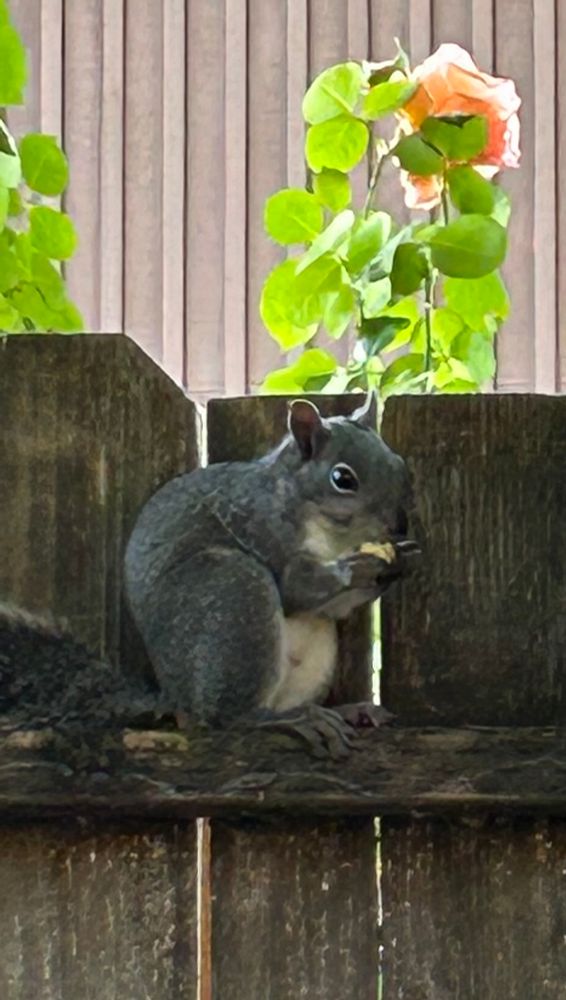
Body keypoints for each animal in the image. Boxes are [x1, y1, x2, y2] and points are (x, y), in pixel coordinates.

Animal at [0, 396, 419, 748]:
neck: (332, 536)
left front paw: (399, 561)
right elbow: (295, 587)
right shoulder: (259, 526)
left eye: (399, 466)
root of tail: (175, 698)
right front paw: (358, 568)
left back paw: (345, 711)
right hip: (234, 591)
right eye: (343, 478)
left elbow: (333, 607)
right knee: (225, 717)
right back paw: (288, 720)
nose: (399, 525)